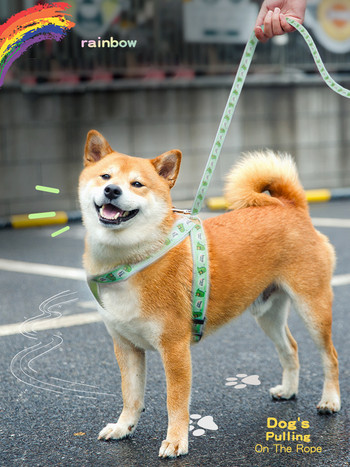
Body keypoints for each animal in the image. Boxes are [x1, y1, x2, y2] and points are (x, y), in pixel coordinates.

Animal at [78, 130, 340, 458]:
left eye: (137, 184)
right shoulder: (126, 347)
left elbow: (175, 401)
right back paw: (289, 390)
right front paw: (123, 427)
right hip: (267, 313)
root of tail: (290, 206)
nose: (112, 190)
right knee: (290, 348)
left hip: (313, 308)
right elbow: (131, 396)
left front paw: (176, 440)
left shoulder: (174, 348)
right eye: (105, 176)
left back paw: (330, 400)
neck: (135, 259)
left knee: (330, 356)